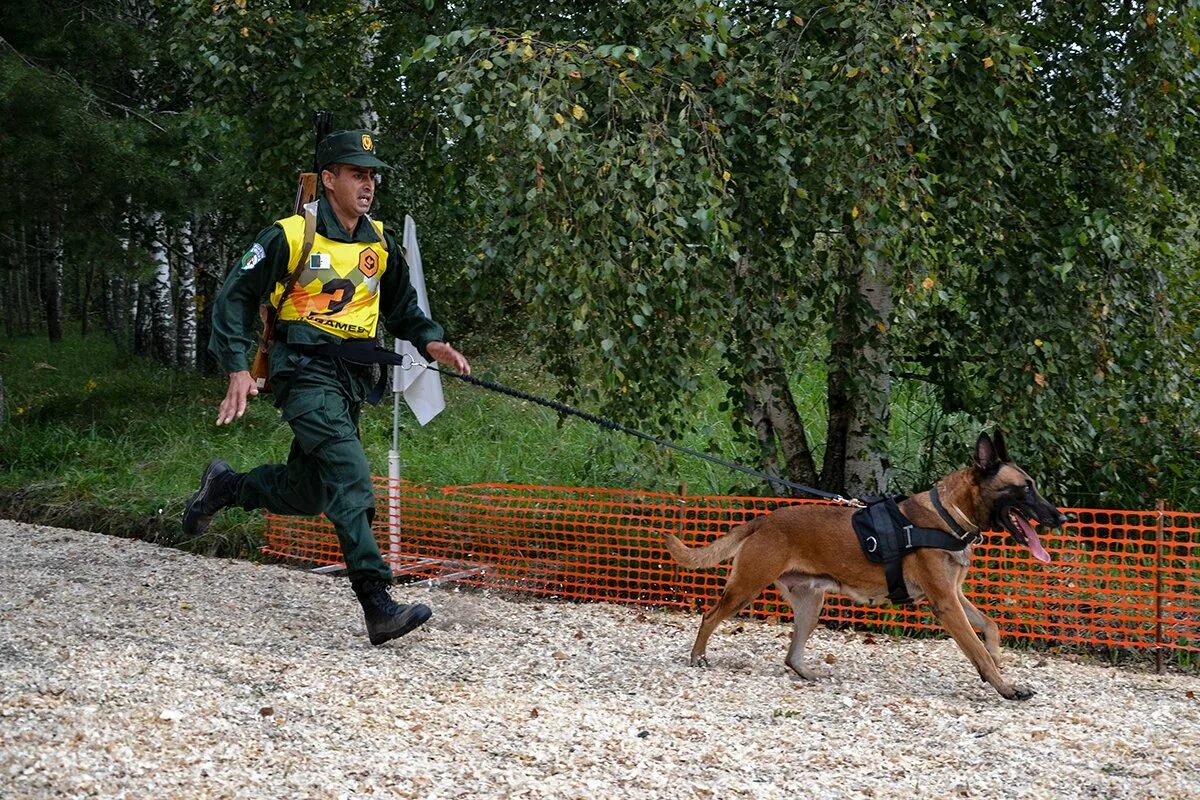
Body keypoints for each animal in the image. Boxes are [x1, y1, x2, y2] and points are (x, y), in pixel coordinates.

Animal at [667, 431, 1070, 700]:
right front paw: (1004, 685)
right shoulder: (945, 603)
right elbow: (977, 649)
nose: (1063, 517)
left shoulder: (954, 595)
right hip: (746, 588)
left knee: (790, 656)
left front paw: (1000, 661)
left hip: (811, 605)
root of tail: (764, 520)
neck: (947, 515)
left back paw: (808, 672)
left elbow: (990, 626)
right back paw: (698, 657)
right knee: (709, 616)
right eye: (1026, 488)